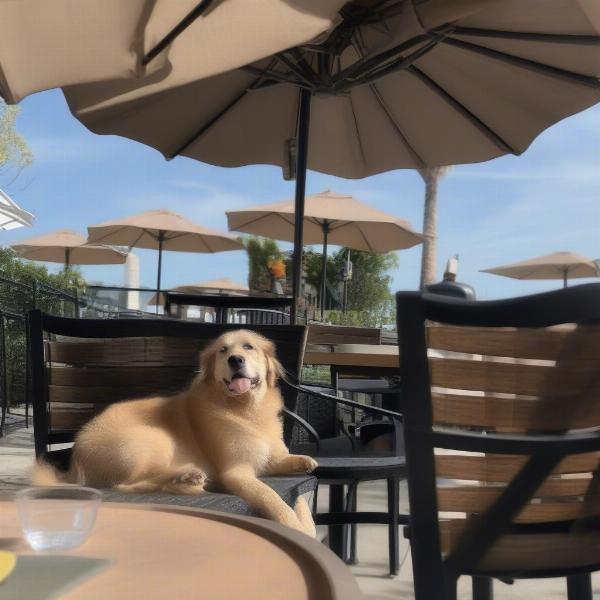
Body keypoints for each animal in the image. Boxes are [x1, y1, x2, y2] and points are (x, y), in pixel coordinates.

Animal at [34, 330, 318, 536]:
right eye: (223, 350)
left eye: (248, 347)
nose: (235, 359)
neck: (246, 409)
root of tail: (76, 460)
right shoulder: (236, 472)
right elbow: (272, 497)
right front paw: (296, 525)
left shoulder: (269, 460)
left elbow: (292, 477)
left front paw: (302, 463)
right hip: (157, 439)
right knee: (127, 485)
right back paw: (185, 480)